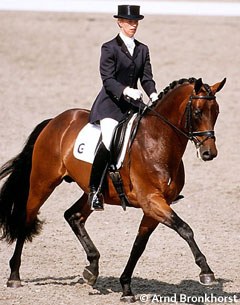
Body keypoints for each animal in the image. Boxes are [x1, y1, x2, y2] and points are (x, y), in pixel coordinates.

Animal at [0, 77, 225, 300]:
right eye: (197, 112)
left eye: (216, 112)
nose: (209, 153)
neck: (158, 141)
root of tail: (55, 121)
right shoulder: (151, 200)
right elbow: (185, 229)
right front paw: (206, 272)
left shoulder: (155, 206)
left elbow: (139, 246)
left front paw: (126, 287)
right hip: (42, 183)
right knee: (27, 219)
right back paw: (14, 276)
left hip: (92, 191)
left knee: (73, 216)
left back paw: (92, 268)